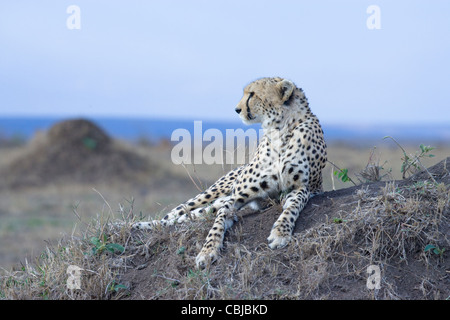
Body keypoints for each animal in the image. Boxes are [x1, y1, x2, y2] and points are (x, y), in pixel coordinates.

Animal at [134, 77, 326, 268]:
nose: (237, 109)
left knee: (194, 214)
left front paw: (280, 233)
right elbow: (217, 223)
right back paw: (140, 225)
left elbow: (293, 207)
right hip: (212, 193)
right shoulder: (235, 198)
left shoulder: (305, 188)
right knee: (175, 214)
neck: (280, 131)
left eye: (252, 94)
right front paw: (208, 250)